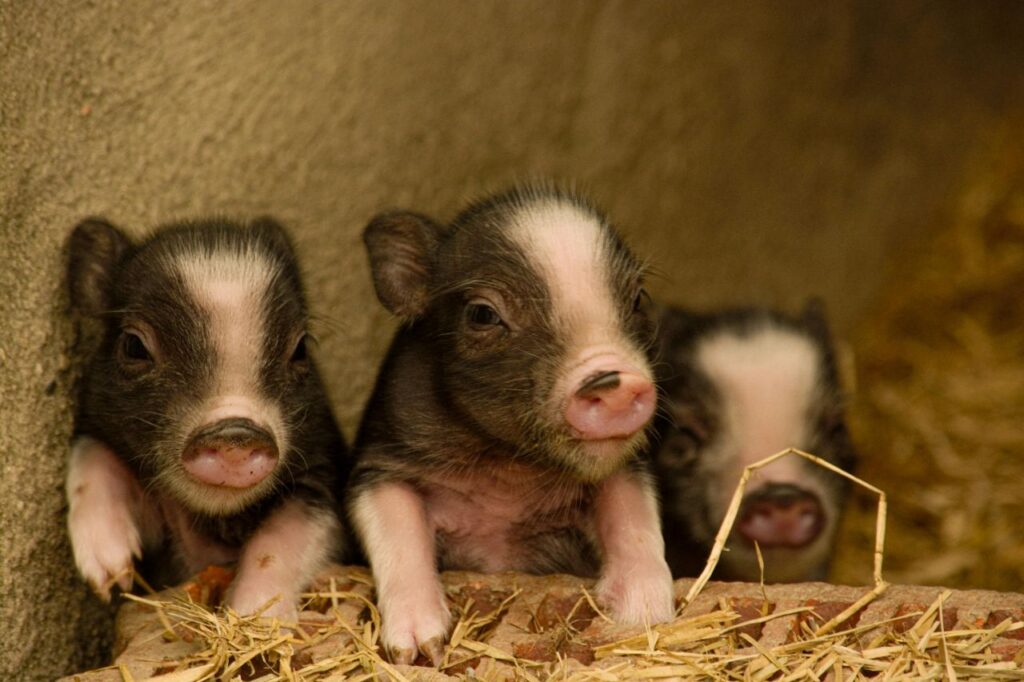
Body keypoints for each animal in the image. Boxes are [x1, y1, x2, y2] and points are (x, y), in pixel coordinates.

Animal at [65, 216, 349, 620]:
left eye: (300, 348)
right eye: (134, 346)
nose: (236, 430)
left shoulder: (322, 474)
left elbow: (286, 534)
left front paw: (252, 618)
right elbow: (91, 451)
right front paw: (110, 578)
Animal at [349, 186, 675, 664]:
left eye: (637, 298)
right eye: (483, 314)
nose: (615, 380)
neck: (508, 468)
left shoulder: (626, 466)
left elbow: (631, 510)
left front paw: (644, 615)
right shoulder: (381, 459)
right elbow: (396, 525)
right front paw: (419, 651)